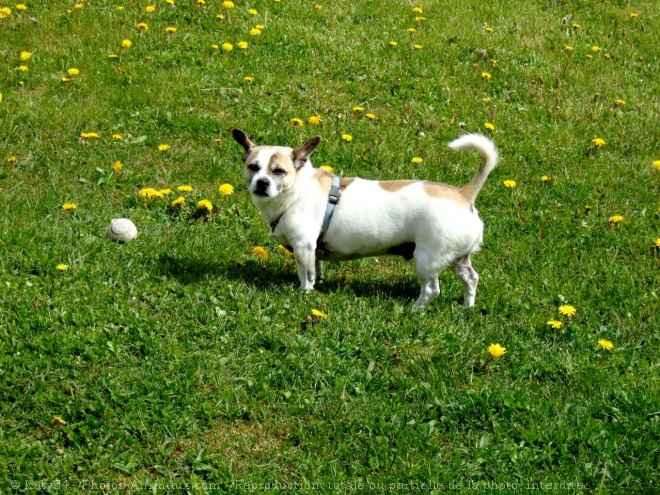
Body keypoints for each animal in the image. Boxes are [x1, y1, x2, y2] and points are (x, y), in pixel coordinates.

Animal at [235, 128, 498, 308]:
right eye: (252, 167)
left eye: (279, 172)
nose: (262, 183)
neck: (297, 189)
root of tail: (464, 194)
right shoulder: (315, 250)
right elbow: (316, 269)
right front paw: (317, 284)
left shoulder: (303, 247)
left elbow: (306, 276)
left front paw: (304, 294)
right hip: (458, 258)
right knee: (471, 278)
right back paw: (467, 307)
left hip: (427, 259)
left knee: (432, 289)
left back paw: (416, 309)